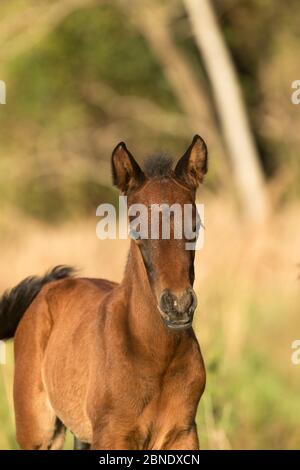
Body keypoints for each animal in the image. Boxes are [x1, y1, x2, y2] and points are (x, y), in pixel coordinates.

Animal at [0, 135, 206, 448]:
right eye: (135, 228)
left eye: (195, 225)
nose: (178, 305)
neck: (154, 356)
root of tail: (46, 290)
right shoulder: (113, 435)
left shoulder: (182, 433)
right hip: (39, 431)